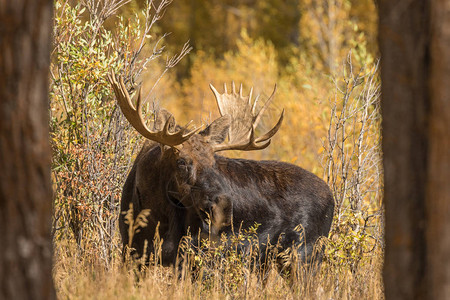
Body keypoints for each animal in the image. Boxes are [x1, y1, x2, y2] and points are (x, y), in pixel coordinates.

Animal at [108, 71, 334, 268]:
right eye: (181, 161)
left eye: (213, 161)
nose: (223, 206)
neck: (155, 212)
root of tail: (332, 197)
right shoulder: (132, 252)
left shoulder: (194, 256)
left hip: (304, 254)